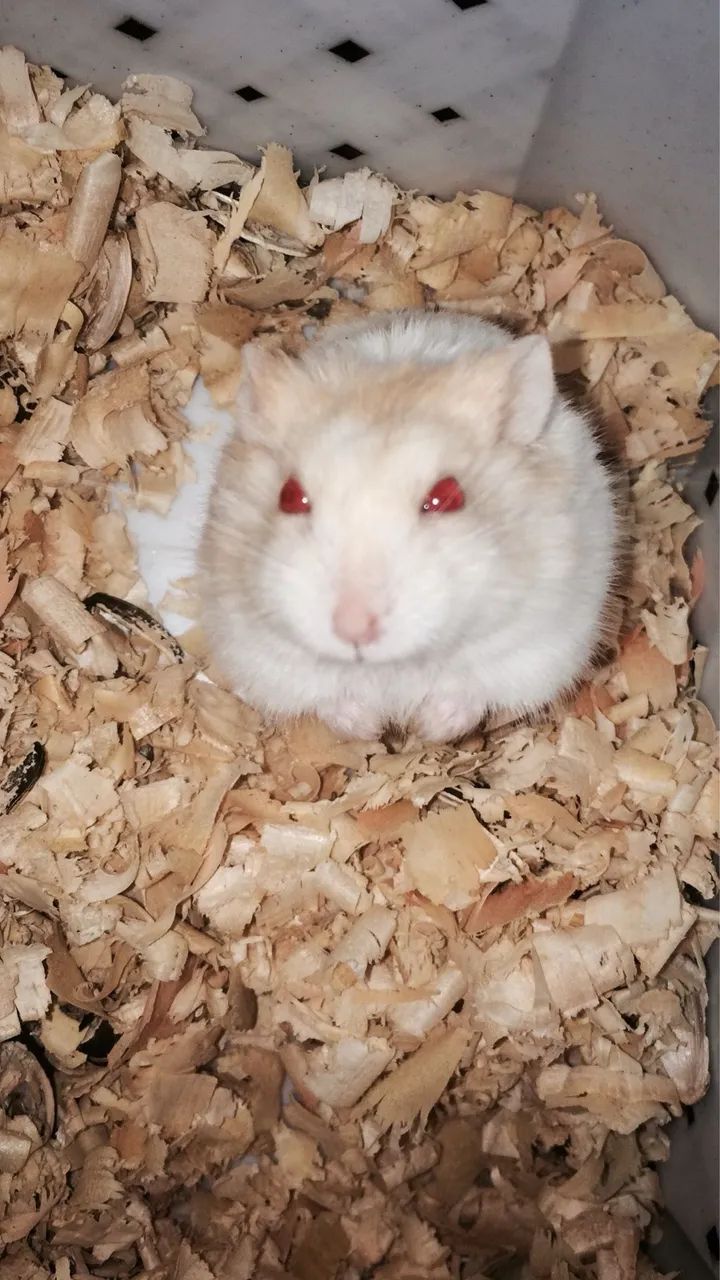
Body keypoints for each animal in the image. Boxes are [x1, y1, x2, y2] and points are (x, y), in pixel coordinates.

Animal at [199, 310, 619, 741]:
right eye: (289, 496)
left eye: (447, 496)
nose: (353, 628)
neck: (393, 665)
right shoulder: (265, 656)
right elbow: (330, 700)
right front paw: (369, 728)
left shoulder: (536, 646)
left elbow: (470, 694)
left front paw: (430, 729)